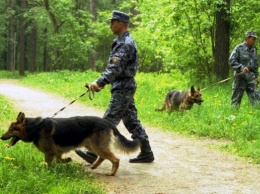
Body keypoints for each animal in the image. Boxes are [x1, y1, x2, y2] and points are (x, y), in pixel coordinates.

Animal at [0, 112, 140, 176]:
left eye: (11, 130)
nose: (1, 137)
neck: (34, 127)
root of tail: (107, 122)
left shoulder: (50, 152)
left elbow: (48, 164)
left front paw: (46, 173)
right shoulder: (56, 152)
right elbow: (59, 159)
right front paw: (68, 160)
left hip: (97, 146)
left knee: (115, 159)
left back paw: (111, 173)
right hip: (92, 145)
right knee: (102, 157)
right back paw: (94, 166)